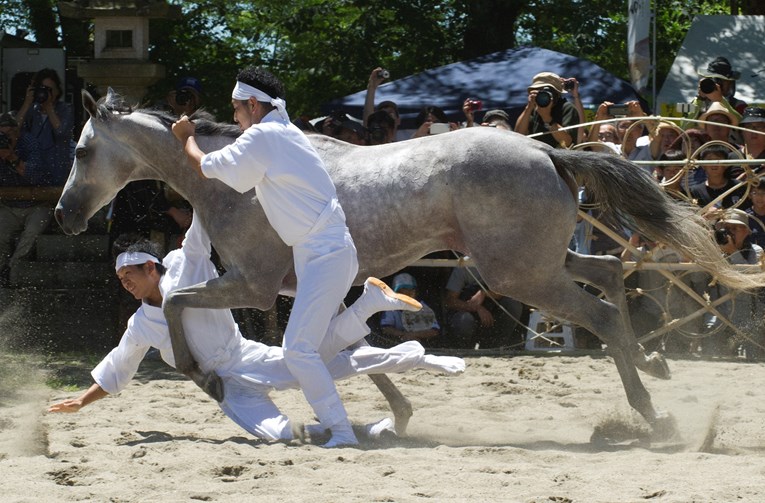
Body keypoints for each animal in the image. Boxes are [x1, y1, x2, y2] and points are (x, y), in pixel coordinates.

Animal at [55, 92, 764, 440]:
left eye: (83, 151)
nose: (64, 214)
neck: (233, 181)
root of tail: (546, 152)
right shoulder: (303, 290)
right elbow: (345, 347)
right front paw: (396, 413)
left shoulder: (252, 285)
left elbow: (176, 305)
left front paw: (204, 376)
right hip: (536, 261)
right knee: (613, 275)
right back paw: (656, 360)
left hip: (518, 276)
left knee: (601, 312)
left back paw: (651, 412)